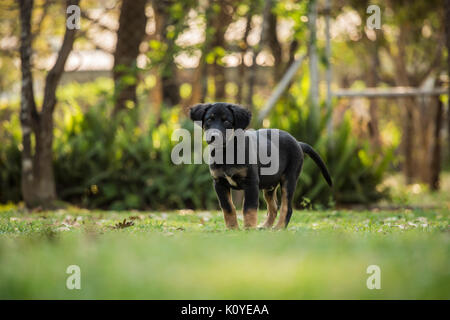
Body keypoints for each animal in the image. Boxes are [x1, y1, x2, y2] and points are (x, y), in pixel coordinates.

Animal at [188, 102, 332, 230]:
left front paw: (249, 228)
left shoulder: (251, 183)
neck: (226, 152)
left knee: (287, 207)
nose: (213, 137)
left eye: (227, 122)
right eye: (209, 120)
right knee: (273, 208)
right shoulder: (219, 183)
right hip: (269, 186)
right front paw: (232, 228)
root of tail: (298, 142)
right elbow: (228, 208)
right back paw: (265, 226)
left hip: (289, 179)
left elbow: (249, 208)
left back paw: (279, 227)